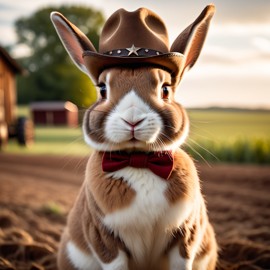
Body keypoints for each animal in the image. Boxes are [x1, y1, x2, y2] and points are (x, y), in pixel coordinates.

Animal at [51, 4, 218, 270]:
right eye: (102, 89)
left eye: (165, 89)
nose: (132, 119)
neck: (139, 161)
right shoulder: (104, 239)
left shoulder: (186, 236)